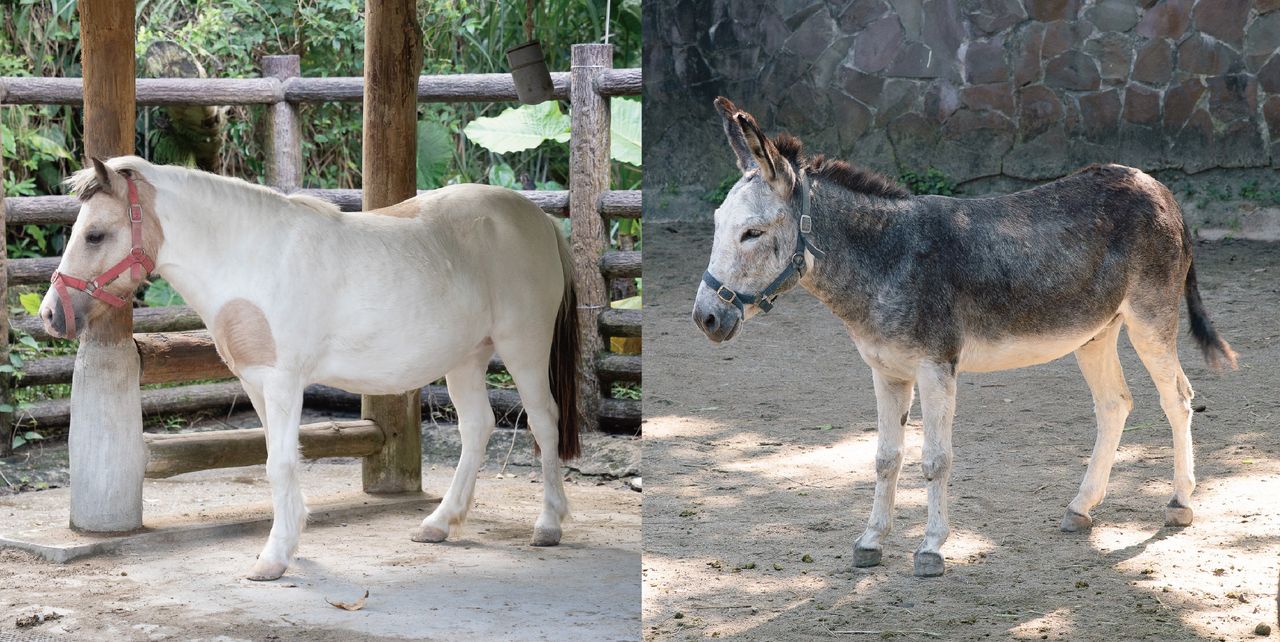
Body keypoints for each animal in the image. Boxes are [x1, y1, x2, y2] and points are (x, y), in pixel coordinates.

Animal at [40, 156, 581, 581]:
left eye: (95, 235)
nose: (51, 314)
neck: (251, 257)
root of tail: (538, 219)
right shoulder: (257, 383)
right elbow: (279, 460)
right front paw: (290, 544)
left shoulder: (283, 382)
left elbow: (279, 463)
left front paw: (273, 559)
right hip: (466, 357)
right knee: (477, 428)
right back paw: (439, 524)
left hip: (523, 348)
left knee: (544, 422)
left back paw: (548, 526)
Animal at [692, 97, 1236, 577]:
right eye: (718, 224)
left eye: (752, 233)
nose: (705, 318)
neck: (888, 257)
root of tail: (1157, 185)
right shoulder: (886, 372)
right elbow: (885, 458)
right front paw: (870, 542)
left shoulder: (936, 368)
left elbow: (935, 460)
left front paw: (931, 550)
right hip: (1096, 332)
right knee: (1115, 404)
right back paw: (1081, 508)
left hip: (1150, 319)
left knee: (1178, 398)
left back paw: (1179, 503)